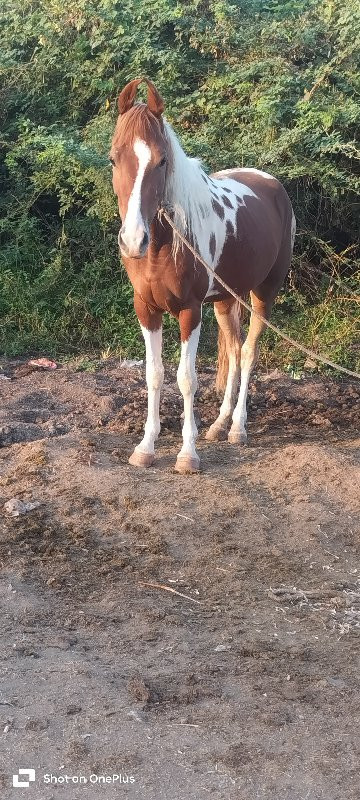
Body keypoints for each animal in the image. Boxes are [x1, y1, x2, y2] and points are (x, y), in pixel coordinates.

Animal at [109, 77, 296, 472]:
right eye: (114, 158)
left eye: (162, 160)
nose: (133, 240)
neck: (165, 245)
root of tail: (271, 183)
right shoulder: (146, 310)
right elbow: (154, 375)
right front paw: (146, 447)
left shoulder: (189, 311)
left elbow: (186, 379)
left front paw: (187, 454)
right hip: (226, 299)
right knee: (235, 349)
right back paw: (219, 424)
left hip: (264, 294)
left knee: (249, 352)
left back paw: (237, 427)